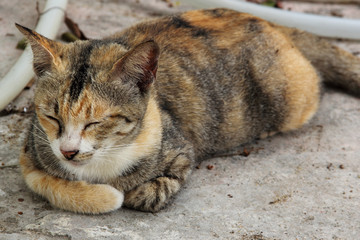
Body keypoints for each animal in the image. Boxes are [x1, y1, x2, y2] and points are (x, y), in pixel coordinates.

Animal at [17, 7, 360, 214]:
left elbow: (164, 182)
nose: (68, 151)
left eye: (95, 122)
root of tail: (273, 23)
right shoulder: (30, 151)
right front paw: (105, 195)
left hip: (292, 100)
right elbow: (47, 183)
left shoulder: (181, 149)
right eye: (51, 117)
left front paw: (135, 192)